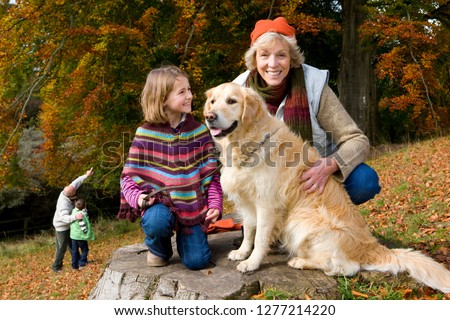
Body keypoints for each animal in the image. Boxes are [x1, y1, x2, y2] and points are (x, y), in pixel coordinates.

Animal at [204, 82, 450, 292]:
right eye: (213, 101)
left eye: (232, 101)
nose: (209, 116)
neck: (247, 143)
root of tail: (370, 246)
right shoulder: (247, 203)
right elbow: (249, 233)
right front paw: (241, 253)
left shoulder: (267, 204)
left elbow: (260, 238)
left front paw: (252, 263)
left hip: (301, 220)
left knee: (346, 267)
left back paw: (300, 262)